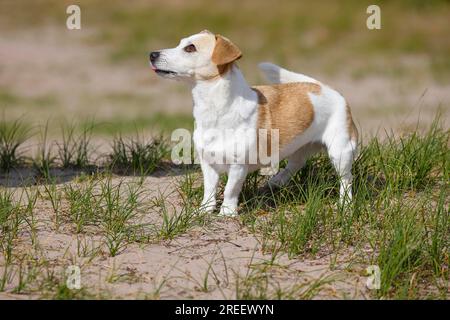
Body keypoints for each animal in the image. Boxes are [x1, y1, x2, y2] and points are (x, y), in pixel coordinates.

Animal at [149, 30, 356, 216]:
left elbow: (230, 190)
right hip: (300, 146)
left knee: (346, 180)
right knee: (295, 164)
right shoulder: (208, 163)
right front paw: (204, 210)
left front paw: (227, 212)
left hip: (340, 152)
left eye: (190, 48)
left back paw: (345, 205)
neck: (214, 110)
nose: (152, 54)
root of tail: (323, 87)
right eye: (180, 43)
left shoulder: (238, 166)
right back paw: (276, 181)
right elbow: (209, 190)